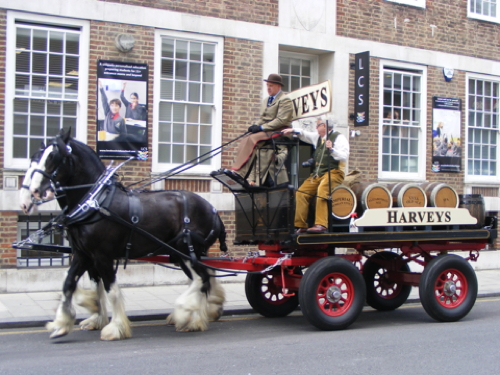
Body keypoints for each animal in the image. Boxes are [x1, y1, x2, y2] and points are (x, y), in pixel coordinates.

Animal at [28, 129, 228, 340]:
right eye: (36, 157)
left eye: (53, 157)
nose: (34, 190)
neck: (95, 202)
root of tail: (213, 210)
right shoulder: (83, 255)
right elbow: (68, 284)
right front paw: (62, 324)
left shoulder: (102, 256)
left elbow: (111, 290)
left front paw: (115, 328)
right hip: (181, 254)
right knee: (202, 279)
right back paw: (196, 319)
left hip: (187, 250)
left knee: (202, 279)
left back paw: (186, 314)